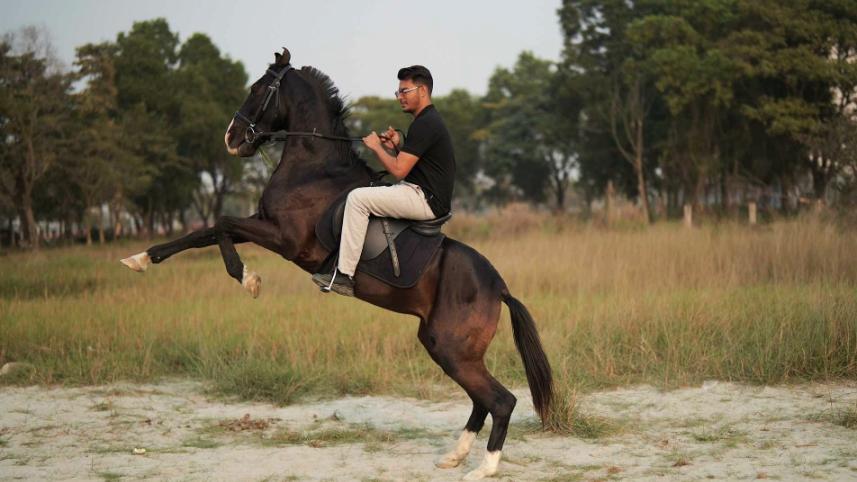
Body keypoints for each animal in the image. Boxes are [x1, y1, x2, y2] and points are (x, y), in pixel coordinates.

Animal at [120, 48, 553, 481]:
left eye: (258, 88)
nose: (231, 138)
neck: (313, 167)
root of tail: (498, 286)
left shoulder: (284, 238)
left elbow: (222, 224)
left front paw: (248, 278)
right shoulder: (263, 225)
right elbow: (203, 232)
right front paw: (140, 258)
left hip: (453, 350)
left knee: (500, 401)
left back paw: (483, 469)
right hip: (443, 346)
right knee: (482, 400)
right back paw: (454, 457)